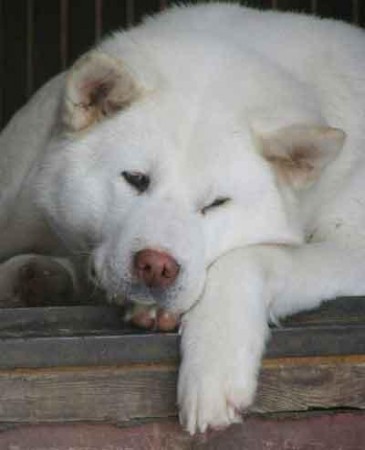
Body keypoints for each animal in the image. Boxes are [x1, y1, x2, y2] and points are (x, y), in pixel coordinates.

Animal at [0, 1, 364, 434]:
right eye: (135, 179)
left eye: (216, 204)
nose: (156, 266)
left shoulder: (353, 245)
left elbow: (249, 257)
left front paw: (214, 367)